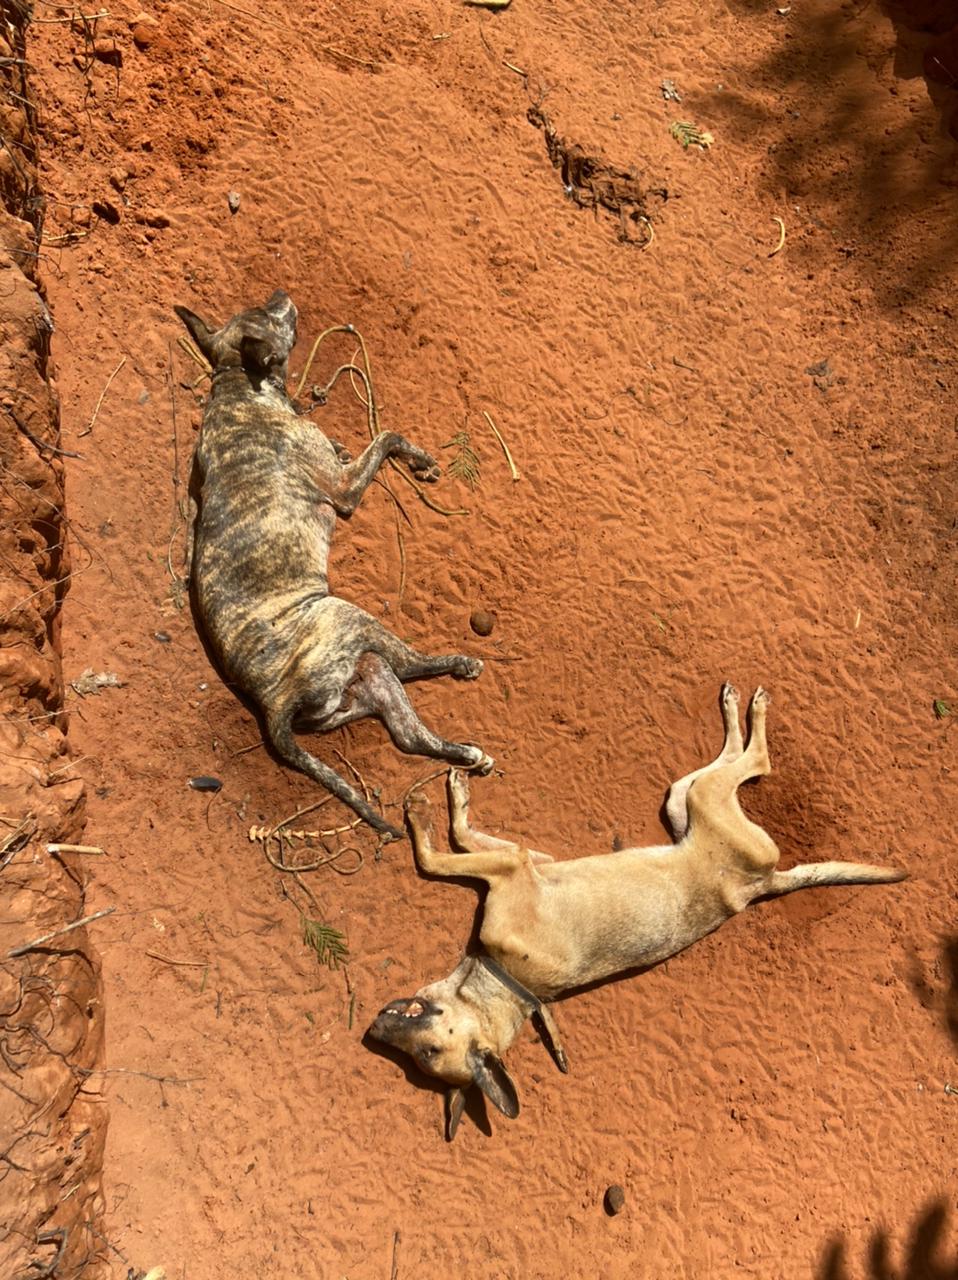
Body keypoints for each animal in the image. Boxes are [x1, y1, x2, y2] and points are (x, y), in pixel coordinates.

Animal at [175, 290, 494, 839]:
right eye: (273, 315)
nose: (282, 294)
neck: (238, 384)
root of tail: (273, 706)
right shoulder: (343, 487)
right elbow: (387, 435)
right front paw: (421, 460)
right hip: (350, 621)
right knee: (412, 668)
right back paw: (460, 666)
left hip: (368, 679)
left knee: (410, 737)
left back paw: (468, 753)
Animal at [366, 686, 906, 1136]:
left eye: (430, 1050)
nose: (373, 1029)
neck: (507, 980)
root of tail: (759, 886)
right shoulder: (532, 859)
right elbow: (463, 840)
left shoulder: (514, 865)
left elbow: (441, 851)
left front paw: (429, 808)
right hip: (682, 804)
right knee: (725, 768)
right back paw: (736, 708)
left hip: (705, 802)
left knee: (759, 761)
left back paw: (747, 707)